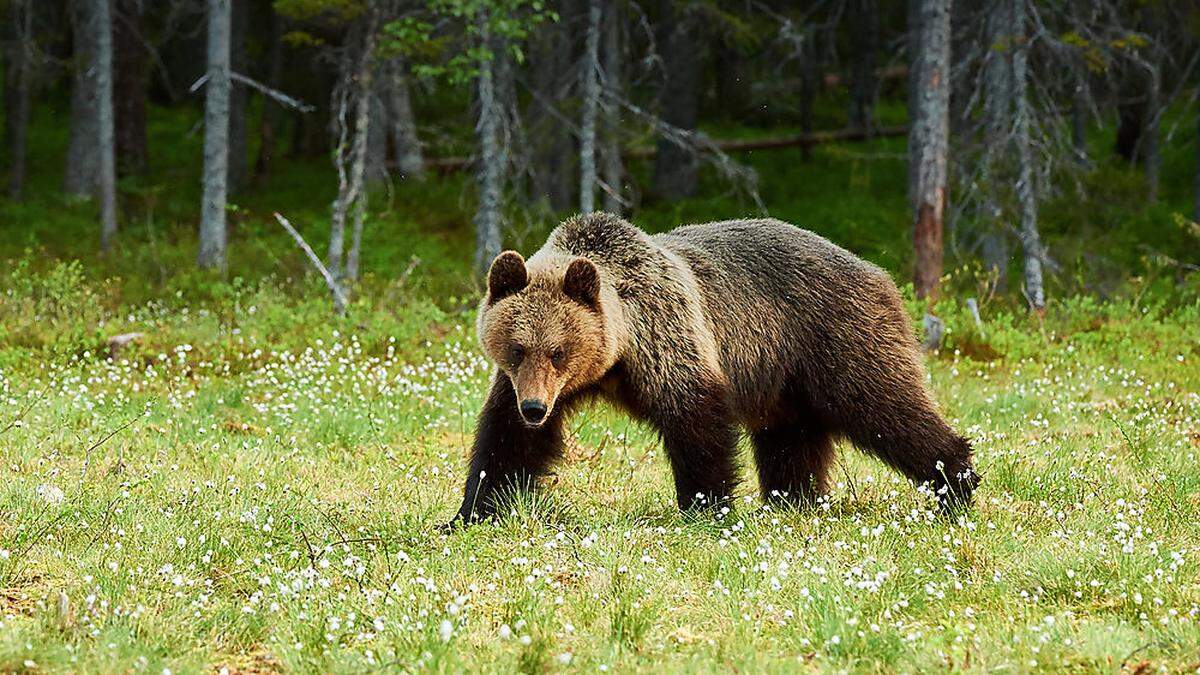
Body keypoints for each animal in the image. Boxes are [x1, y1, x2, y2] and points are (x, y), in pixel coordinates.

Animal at [451, 212, 974, 523]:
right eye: (517, 349)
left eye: (558, 350)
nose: (536, 408)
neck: (617, 355)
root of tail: (878, 272)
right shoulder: (533, 386)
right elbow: (505, 441)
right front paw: (469, 514)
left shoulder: (669, 336)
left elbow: (697, 422)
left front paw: (706, 508)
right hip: (783, 383)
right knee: (791, 440)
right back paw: (793, 501)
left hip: (836, 338)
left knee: (884, 405)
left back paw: (955, 481)